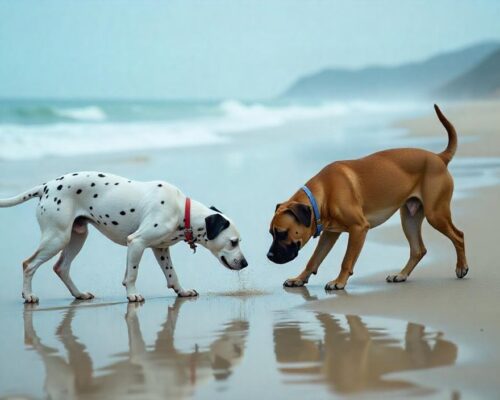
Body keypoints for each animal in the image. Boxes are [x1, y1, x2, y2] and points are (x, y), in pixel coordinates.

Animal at [270, 104, 468, 290]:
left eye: (282, 233)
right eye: (271, 233)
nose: (269, 255)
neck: (323, 193)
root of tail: (438, 157)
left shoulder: (358, 229)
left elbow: (346, 260)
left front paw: (339, 282)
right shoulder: (329, 234)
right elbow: (314, 259)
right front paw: (299, 279)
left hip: (435, 214)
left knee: (458, 236)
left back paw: (461, 267)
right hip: (410, 218)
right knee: (418, 250)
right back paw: (401, 275)